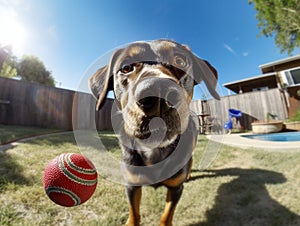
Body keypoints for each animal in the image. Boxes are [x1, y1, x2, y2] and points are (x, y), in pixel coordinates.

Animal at [88, 39, 218, 225]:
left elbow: (166, 216)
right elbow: (134, 213)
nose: (159, 93)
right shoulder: (131, 185)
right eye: (126, 67)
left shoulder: (176, 188)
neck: (154, 148)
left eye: (180, 60)